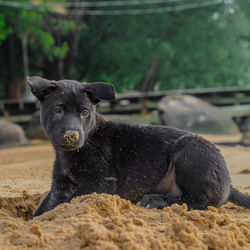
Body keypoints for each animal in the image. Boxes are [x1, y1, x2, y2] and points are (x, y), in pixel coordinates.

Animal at [27, 75, 250, 217]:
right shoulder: (59, 186)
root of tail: (228, 181)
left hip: (189, 146)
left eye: (84, 112)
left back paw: (154, 200)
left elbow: (67, 202)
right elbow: (43, 208)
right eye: (57, 110)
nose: (71, 136)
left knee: (201, 201)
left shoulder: (100, 183)